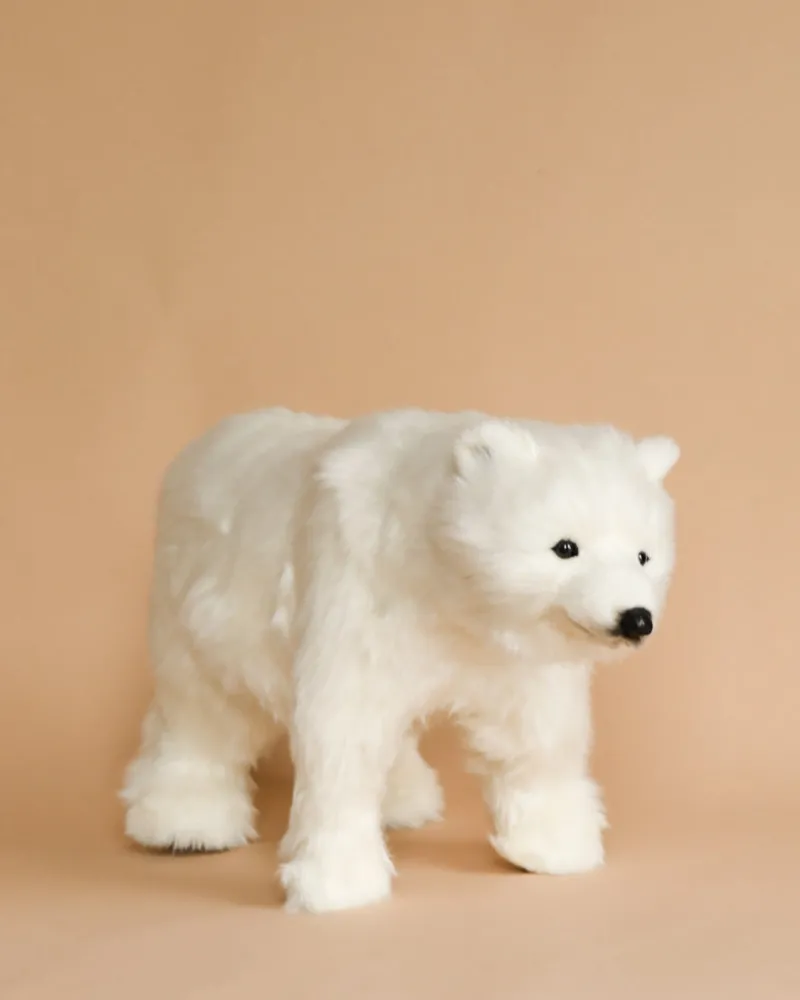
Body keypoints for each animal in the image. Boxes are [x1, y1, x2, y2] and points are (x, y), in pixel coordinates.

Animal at [121, 407, 679, 914]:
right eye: (565, 547)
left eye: (643, 555)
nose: (635, 618)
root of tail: (199, 447)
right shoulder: (359, 598)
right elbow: (342, 738)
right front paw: (337, 883)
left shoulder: (512, 658)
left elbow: (535, 738)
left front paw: (555, 847)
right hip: (198, 609)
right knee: (201, 711)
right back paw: (186, 823)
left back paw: (404, 802)